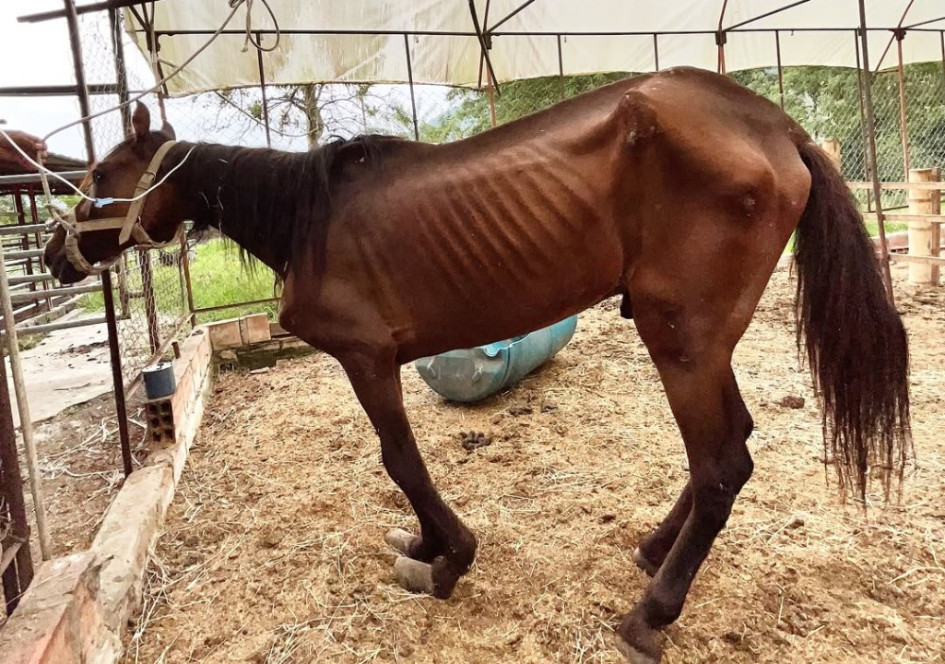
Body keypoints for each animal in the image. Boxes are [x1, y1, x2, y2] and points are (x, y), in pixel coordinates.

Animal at [43, 67, 910, 663]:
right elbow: (401, 465)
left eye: (97, 180)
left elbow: (400, 460)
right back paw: (654, 552)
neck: (306, 218)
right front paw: (427, 546)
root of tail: (776, 127)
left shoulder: (367, 358)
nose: (54, 255)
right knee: (725, 453)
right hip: (699, 343)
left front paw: (447, 562)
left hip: (682, 342)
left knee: (721, 462)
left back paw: (649, 614)